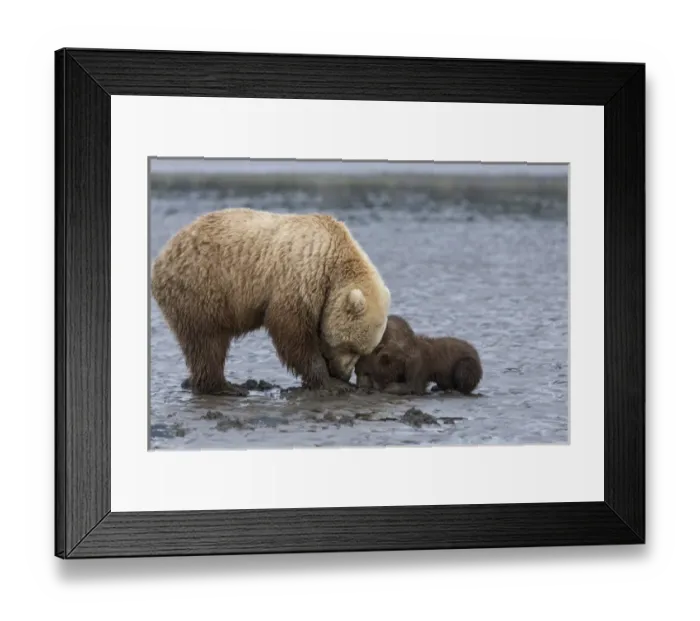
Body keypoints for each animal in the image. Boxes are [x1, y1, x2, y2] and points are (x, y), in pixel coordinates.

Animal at [150, 207, 391, 396]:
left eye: (363, 351)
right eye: (350, 347)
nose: (344, 375)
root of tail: (162, 256)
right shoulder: (299, 280)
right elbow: (291, 331)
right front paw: (329, 382)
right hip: (201, 287)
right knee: (207, 341)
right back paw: (225, 387)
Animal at [354, 314, 482, 396]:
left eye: (370, 372)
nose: (357, 370)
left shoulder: (417, 366)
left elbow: (413, 386)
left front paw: (385, 388)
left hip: (466, 361)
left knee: (464, 372)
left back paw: (454, 390)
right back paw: (438, 387)